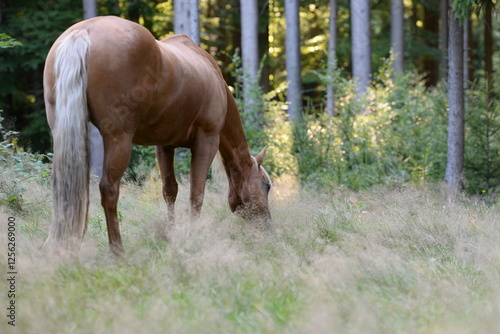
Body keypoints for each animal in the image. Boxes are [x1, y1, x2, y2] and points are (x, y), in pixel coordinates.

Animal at [43, 16, 272, 256]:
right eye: (267, 186)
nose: (268, 229)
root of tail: (83, 32)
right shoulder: (207, 141)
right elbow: (196, 194)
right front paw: (193, 239)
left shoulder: (164, 145)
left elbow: (170, 191)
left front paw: (172, 236)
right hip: (119, 138)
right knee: (109, 189)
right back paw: (118, 251)